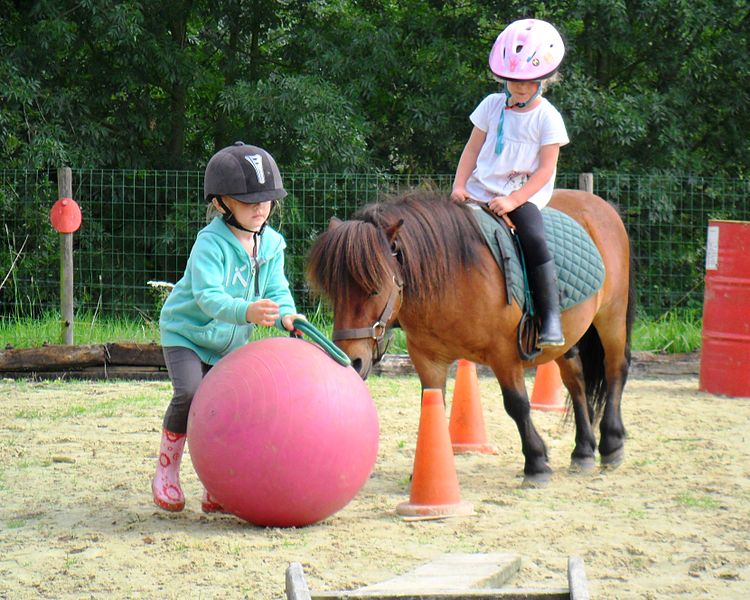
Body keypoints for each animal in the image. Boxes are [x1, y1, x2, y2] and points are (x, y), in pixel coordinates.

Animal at [306, 189, 635, 485]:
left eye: (374, 288)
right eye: (334, 292)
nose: (353, 361)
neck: (457, 272)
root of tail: (602, 206)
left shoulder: (504, 354)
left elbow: (517, 404)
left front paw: (536, 462)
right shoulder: (428, 360)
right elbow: (432, 406)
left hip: (611, 318)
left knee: (615, 370)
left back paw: (611, 444)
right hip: (568, 337)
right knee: (576, 380)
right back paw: (583, 451)